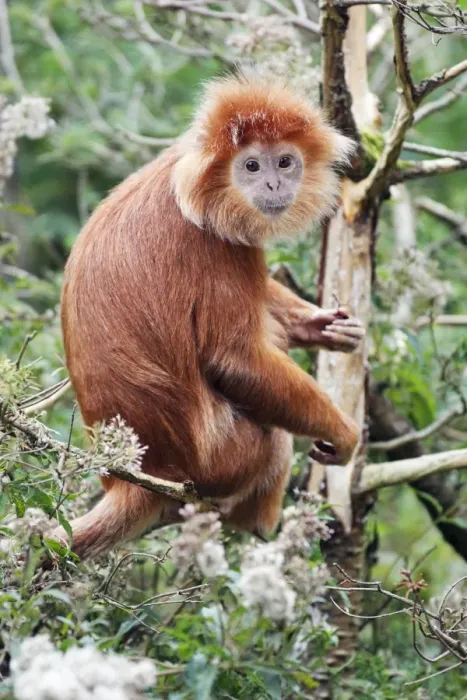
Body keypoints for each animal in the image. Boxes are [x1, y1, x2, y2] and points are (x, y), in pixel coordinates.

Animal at [56, 72, 364, 559]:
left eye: (285, 162)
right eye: (252, 167)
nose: (274, 186)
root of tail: (132, 477)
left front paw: (322, 327)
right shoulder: (216, 240)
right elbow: (234, 361)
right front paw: (347, 433)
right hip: (217, 462)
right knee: (273, 438)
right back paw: (259, 526)